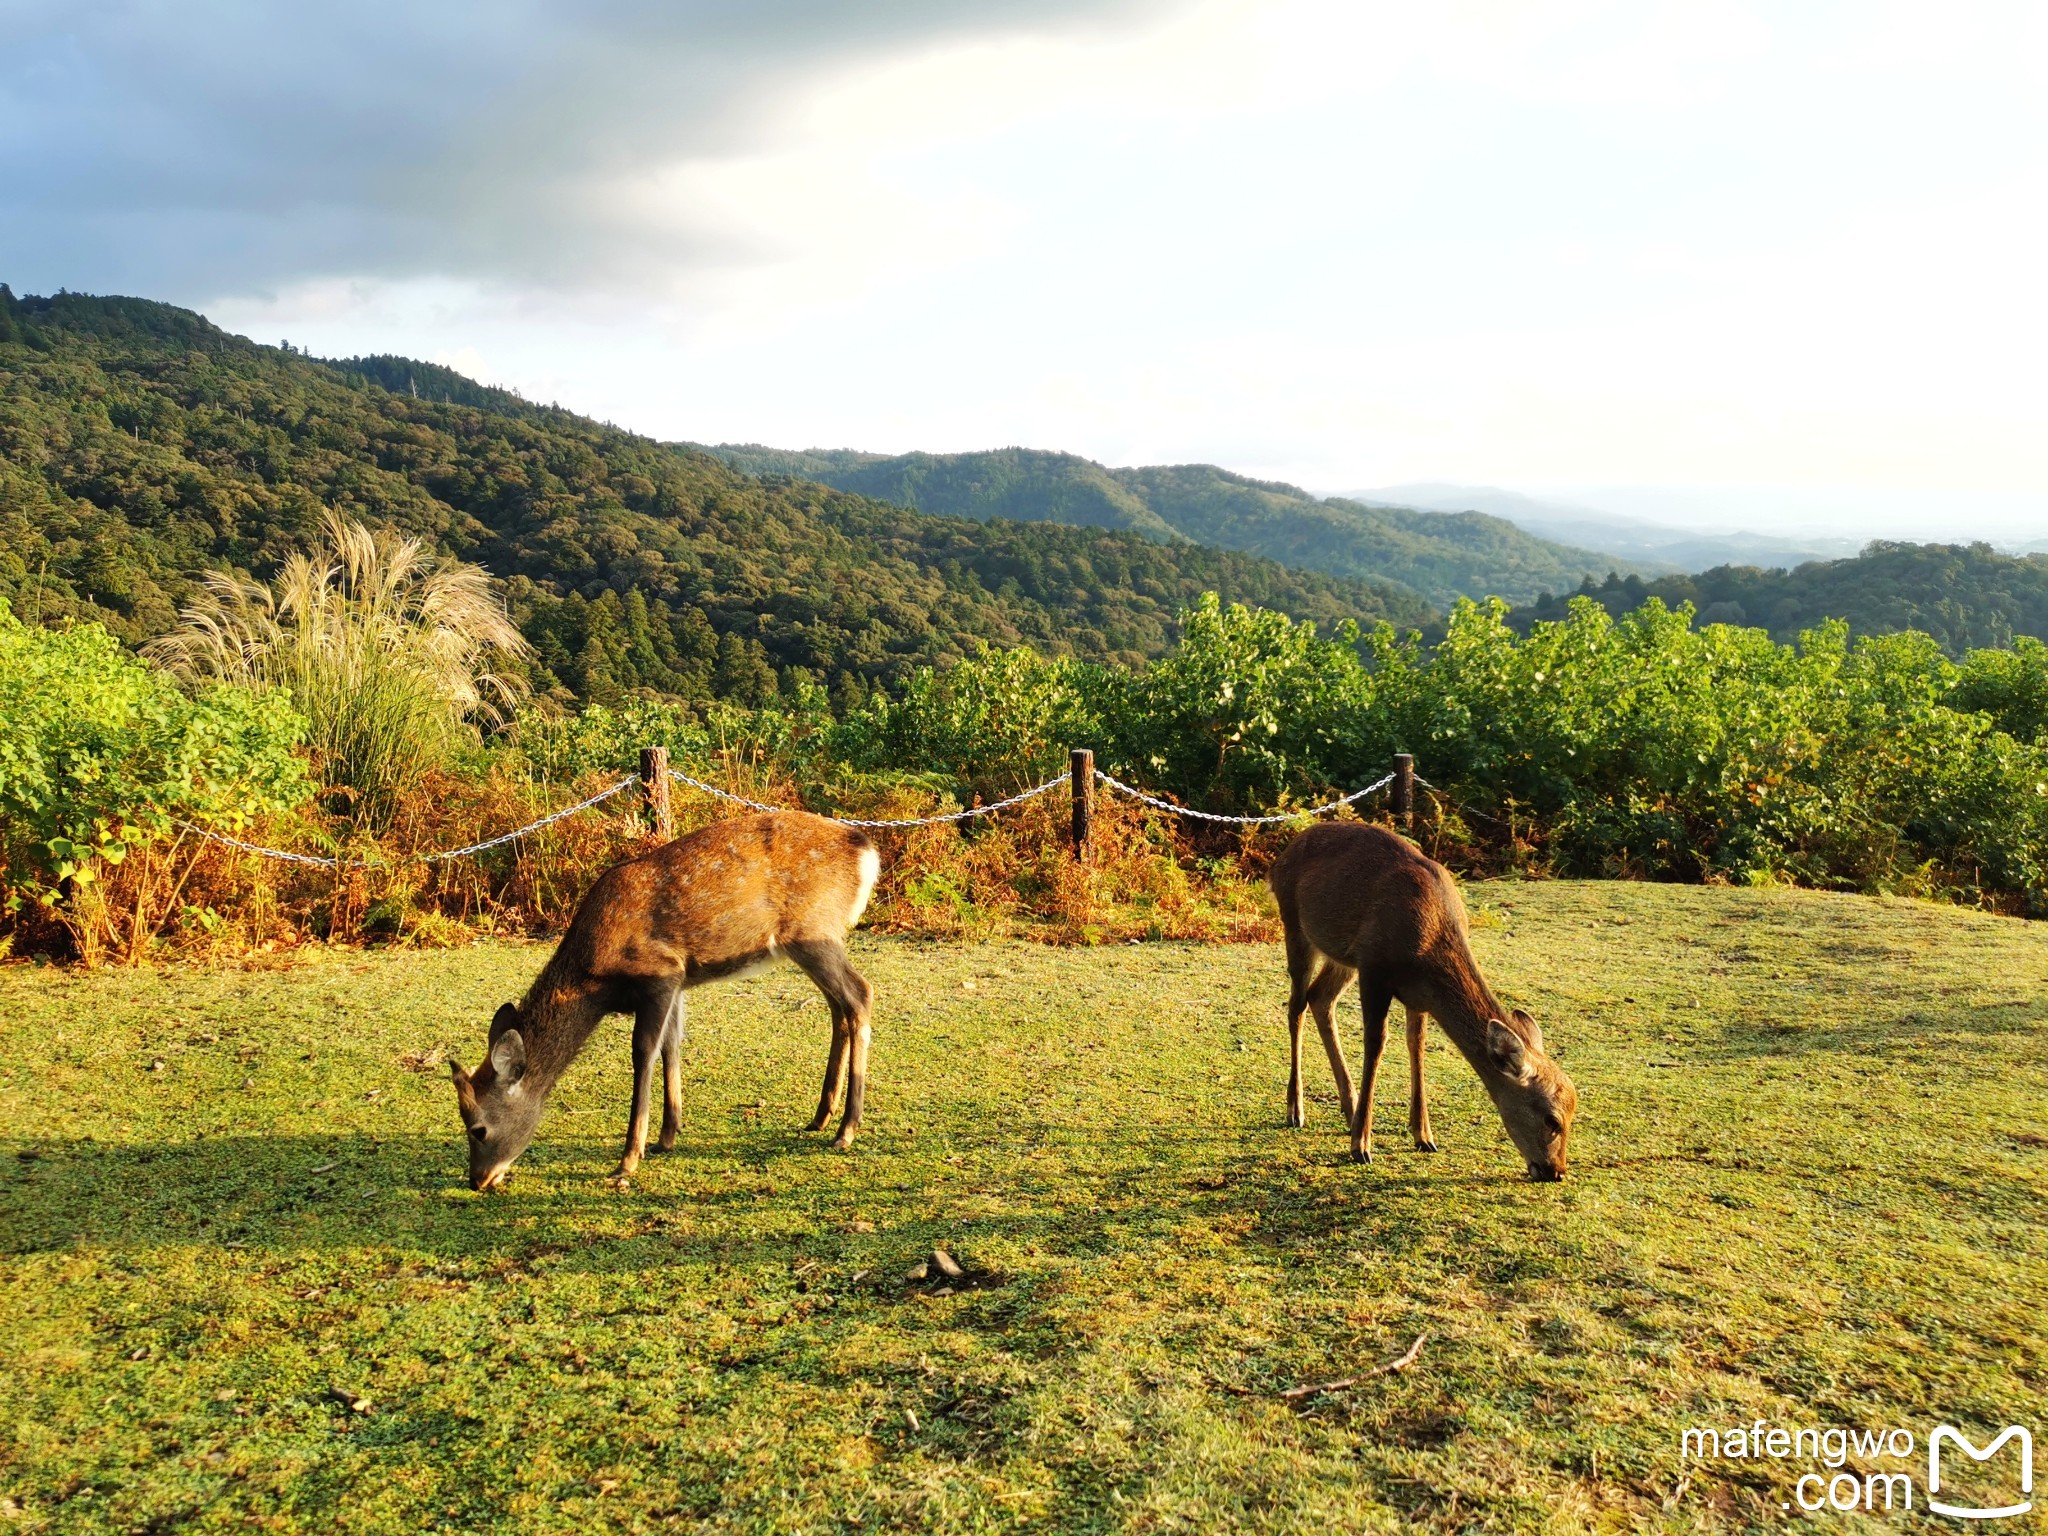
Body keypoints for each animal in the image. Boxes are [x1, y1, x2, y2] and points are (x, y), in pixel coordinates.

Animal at [450, 811, 880, 1196]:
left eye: (478, 1128)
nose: (477, 1180)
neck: (594, 980)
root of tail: (866, 848)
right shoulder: (678, 981)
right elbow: (673, 1043)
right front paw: (668, 1135)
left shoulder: (660, 973)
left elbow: (644, 1052)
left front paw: (627, 1160)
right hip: (814, 940)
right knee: (839, 1007)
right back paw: (821, 1116)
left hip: (812, 931)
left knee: (860, 994)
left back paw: (846, 1129)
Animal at [1261, 831, 1581, 1179]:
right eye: (1552, 1119)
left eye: (1572, 1114)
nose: (1555, 1171)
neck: (1429, 943)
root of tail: (1280, 860)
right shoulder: (1374, 966)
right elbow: (1376, 1044)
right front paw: (1361, 1146)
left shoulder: (1418, 994)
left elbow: (1416, 1044)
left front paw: (1423, 1135)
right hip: (1295, 925)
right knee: (1297, 1005)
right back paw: (1296, 1109)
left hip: (1342, 955)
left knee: (1320, 998)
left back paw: (1350, 1108)